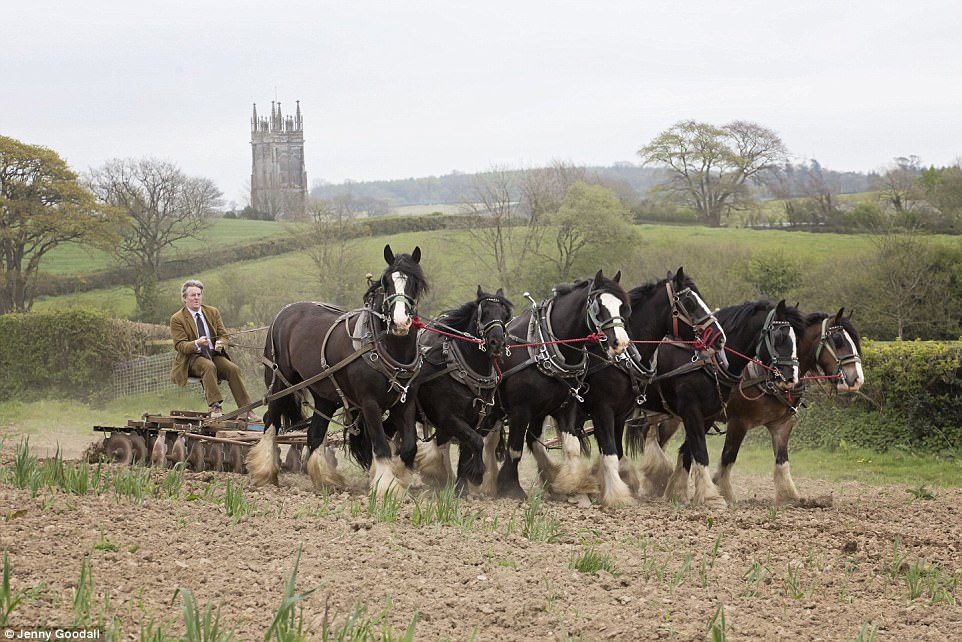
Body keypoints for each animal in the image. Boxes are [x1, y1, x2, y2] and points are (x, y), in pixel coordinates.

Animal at [246, 242, 426, 498]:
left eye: (415, 282)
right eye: (387, 283)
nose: (400, 322)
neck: (385, 347)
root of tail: (286, 311)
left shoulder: (406, 402)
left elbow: (409, 446)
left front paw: (399, 476)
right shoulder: (369, 403)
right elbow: (381, 446)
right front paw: (386, 487)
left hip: (326, 395)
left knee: (314, 435)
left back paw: (326, 481)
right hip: (279, 383)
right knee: (271, 422)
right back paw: (265, 473)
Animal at [406, 284, 510, 490]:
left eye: (504, 315)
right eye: (483, 313)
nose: (497, 343)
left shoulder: (477, 420)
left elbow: (467, 450)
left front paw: (462, 486)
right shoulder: (450, 418)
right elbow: (476, 442)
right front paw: (477, 475)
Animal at [488, 270, 632, 500]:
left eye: (623, 307)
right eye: (598, 307)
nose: (621, 343)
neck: (542, 347)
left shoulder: (566, 406)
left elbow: (572, 446)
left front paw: (573, 484)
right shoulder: (520, 409)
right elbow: (515, 449)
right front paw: (510, 487)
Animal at [632, 298, 804, 508]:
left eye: (797, 339)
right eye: (780, 337)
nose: (791, 379)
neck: (708, 361)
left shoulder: (708, 415)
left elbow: (688, 450)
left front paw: (678, 492)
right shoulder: (703, 414)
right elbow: (703, 450)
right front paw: (712, 496)